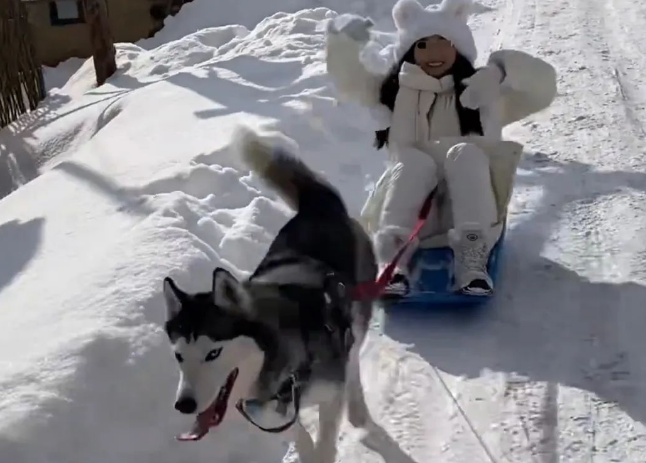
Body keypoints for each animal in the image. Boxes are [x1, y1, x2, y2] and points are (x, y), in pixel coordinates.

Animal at [163, 125, 380, 463]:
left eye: (213, 353)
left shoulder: (330, 395)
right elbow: (295, 433)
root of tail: (318, 206)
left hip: (355, 317)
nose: (184, 405)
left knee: (353, 359)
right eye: (178, 355)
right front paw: (305, 449)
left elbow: (326, 439)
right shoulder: (264, 410)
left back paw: (357, 407)